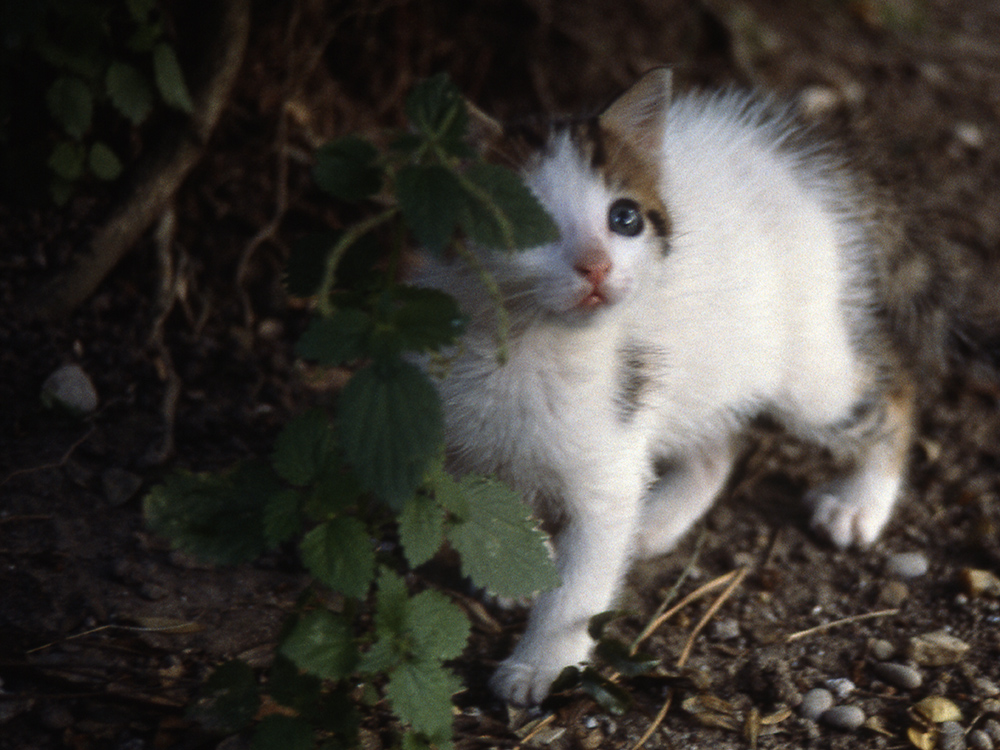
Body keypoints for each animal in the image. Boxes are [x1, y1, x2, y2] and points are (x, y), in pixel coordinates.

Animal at [412, 67, 916, 708]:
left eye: (624, 218)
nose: (597, 266)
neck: (524, 344)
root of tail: (787, 158)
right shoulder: (456, 443)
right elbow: (498, 507)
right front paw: (520, 567)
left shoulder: (606, 462)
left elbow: (580, 585)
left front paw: (541, 664)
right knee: (716, 445)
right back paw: (656, 518)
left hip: (808, 372)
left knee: (891, 395)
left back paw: (860, 502)